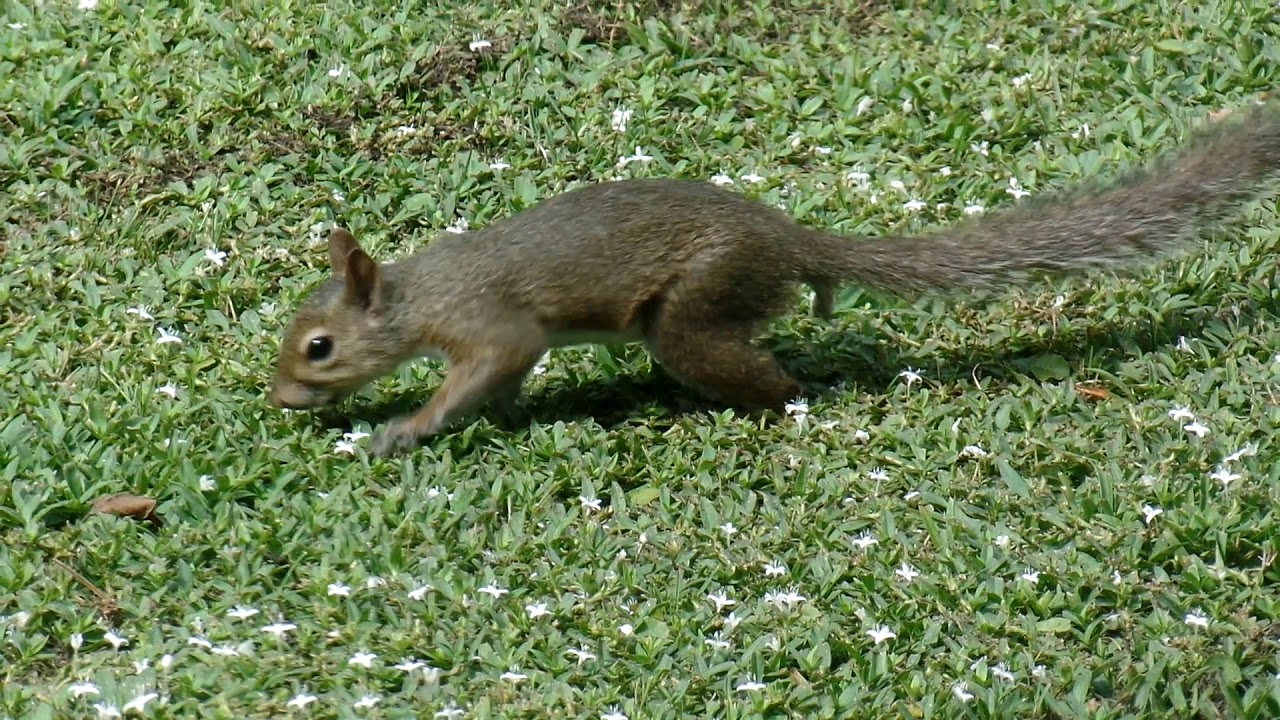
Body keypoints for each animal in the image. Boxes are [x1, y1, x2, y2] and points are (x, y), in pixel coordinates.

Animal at [268, 99, 1280, 457]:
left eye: (318, 347)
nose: (279, 400)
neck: (416, 295)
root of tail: (792, 244)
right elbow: (509, 382)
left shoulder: (489, 324)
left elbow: (488, 366)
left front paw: (407, 428)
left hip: (694, 313)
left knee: (770, 377)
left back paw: (775, 406)